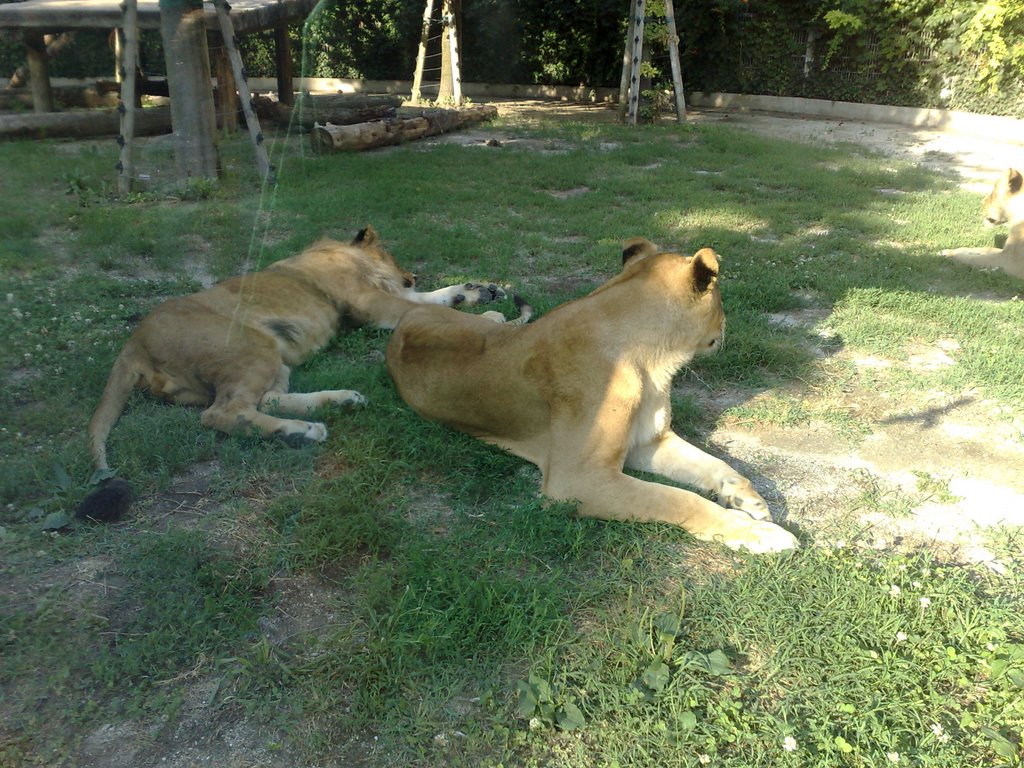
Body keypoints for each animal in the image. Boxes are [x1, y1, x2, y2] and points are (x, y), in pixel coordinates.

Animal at [86, 222, 509, 487]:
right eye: (392, 255)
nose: (413, 274)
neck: (341, 253)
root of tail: (134, 341)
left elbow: (431, 299)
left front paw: (476, 291)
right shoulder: (368, 302)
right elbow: (426, 307)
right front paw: (489, 316)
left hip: (273, 356)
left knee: (266, 400)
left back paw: (341, 403)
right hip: (252, 346)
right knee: (222, 413)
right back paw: (302, 433)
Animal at [385, 236, 798, 552]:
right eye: (722, 301)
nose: (725, 325)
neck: (653, 359)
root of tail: (402, 323)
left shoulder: (648, 441)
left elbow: (717, 464)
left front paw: (748, 499)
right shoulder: (577, 480)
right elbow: (678, 498)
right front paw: (758, 533)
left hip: (488, 324)